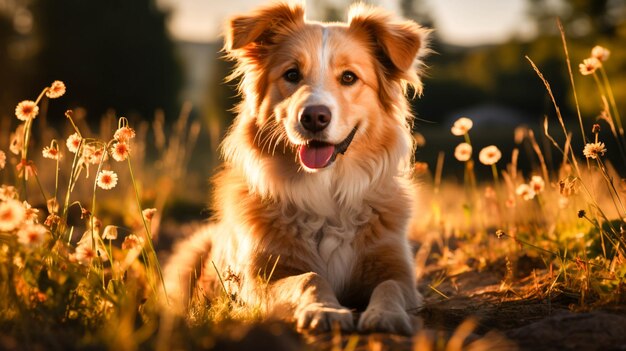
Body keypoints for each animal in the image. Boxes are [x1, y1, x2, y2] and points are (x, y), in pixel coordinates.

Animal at [163, 0, 428, 336]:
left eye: (349, 78)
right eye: (291, 74)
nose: (314, 117)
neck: (325, 190)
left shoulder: (399, 270)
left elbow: (390, 286)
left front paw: (386, 315)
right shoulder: (259, 280)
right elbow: (309, 278)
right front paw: (325, 310)